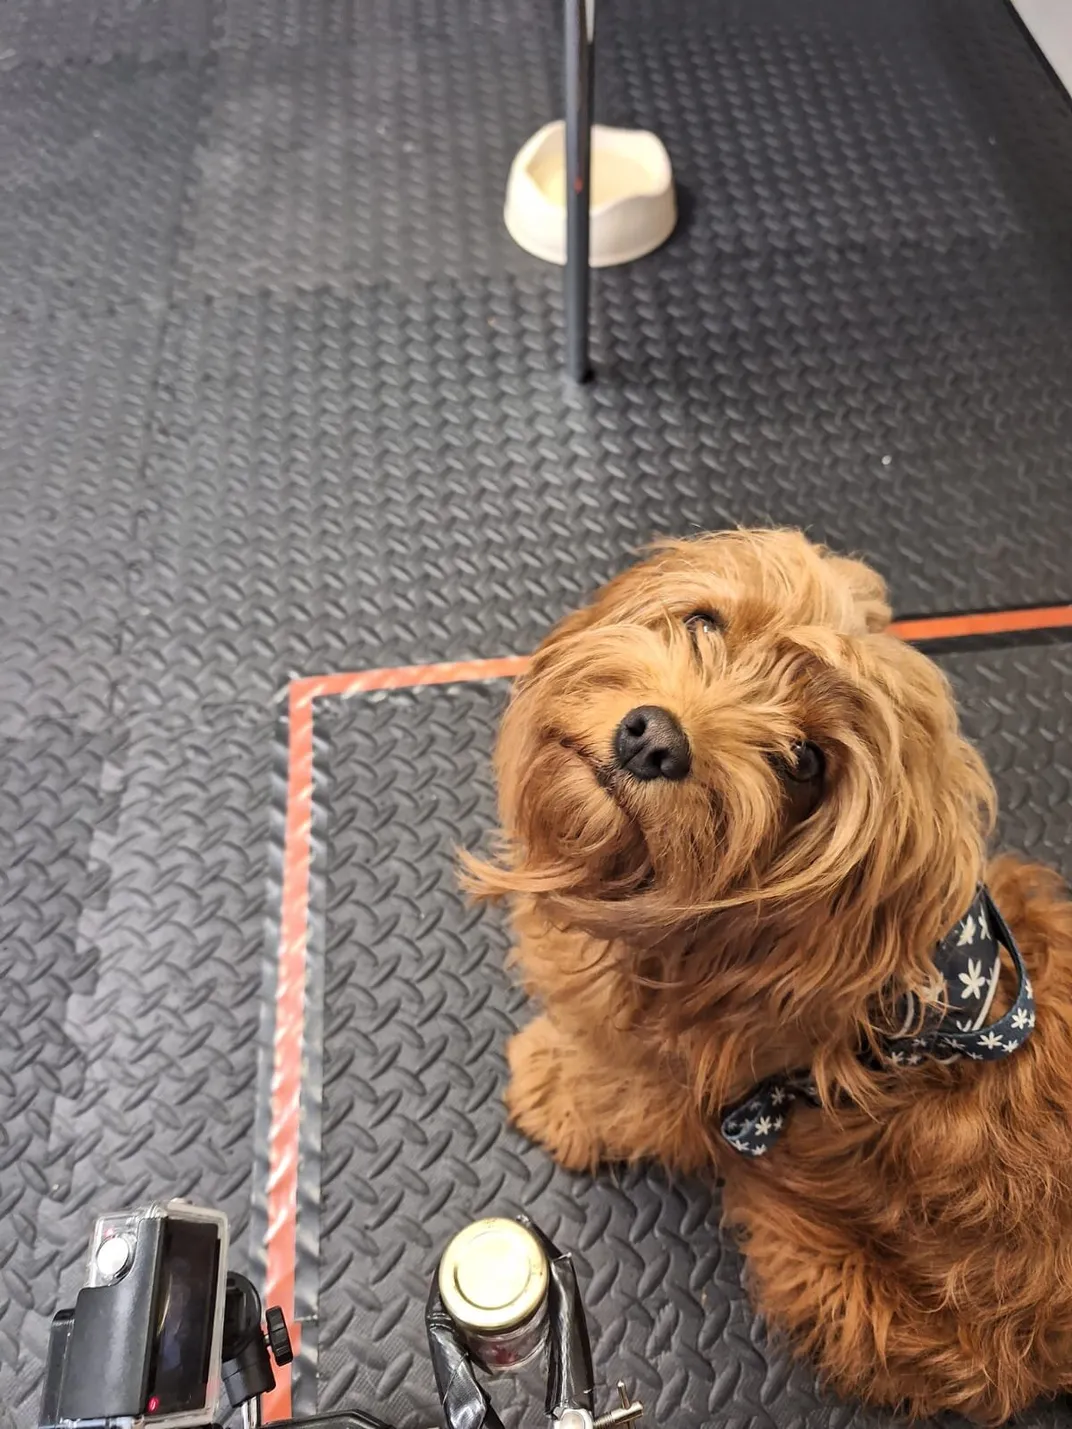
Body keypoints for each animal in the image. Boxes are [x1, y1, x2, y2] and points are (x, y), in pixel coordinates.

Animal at [465, 531, 1072, 1423]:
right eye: (704, 623)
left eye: (805, 760)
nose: (653, 739)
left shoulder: (689, 1089)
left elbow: (614, 1089)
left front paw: (551, 1085)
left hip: (818, 1265)